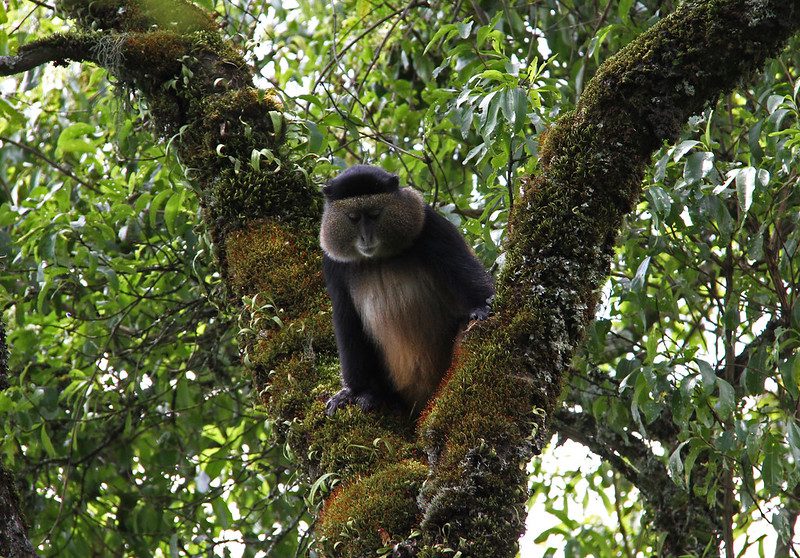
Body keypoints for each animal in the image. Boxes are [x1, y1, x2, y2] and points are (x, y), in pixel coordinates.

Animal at [320, 165, 494, 416]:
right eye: (353, 218)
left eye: (375, 214)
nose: (366, 237)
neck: (378, 259)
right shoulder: (332, 264)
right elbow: (347, 319)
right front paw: (354, 391)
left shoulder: (430, 226)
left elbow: (462, 269)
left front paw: (481, 306)